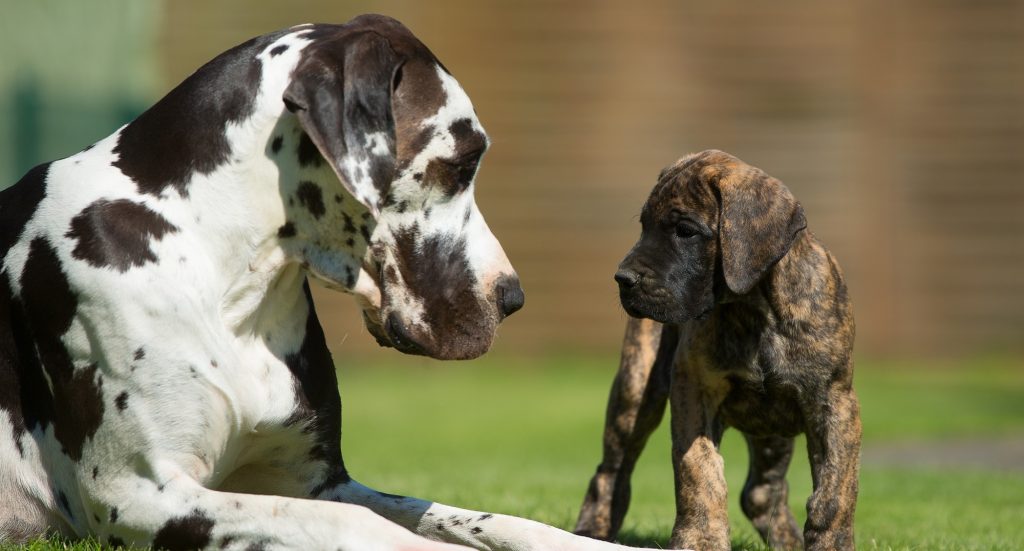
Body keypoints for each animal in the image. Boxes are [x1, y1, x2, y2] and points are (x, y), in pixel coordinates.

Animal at [577, 150, 856, 548]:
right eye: (644, 226)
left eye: (686, 231)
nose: (623, 279)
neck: (756, 309)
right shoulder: (692, 391)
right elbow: (699, 471)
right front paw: (700, 538)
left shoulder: (834, 402)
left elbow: (835, 491)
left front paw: (830, 541)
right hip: (634, 393)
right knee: (611, 471)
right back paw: (592, 532)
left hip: (774, 425)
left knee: (762, 491)